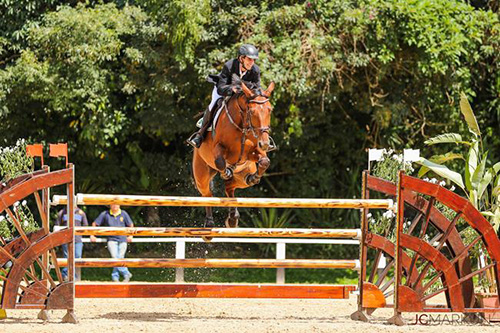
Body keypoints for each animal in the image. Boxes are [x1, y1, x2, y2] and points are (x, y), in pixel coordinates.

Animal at [192, 79, 278, 227]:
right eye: (252, 111)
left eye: (270, 110)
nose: (265, 144)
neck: (242, 126)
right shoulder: (218, 148)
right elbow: (220, 162)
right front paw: (226, 172)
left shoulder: (253, 152)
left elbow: (264, 161)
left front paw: (254, 177)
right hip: (201, 174)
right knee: (207, 194)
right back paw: (209, 222)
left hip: (243, 174)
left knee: (230, 187)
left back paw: (233, 216)